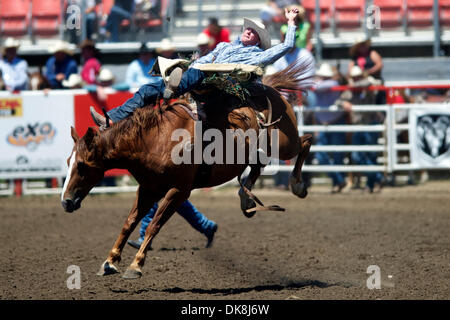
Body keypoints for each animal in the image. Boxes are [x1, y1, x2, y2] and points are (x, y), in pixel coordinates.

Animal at [60, 63, 312, 278]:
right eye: (68, 161)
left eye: (81, 165)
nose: (66, 201)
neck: (154, 141)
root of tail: (269, 88)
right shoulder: (149, 188)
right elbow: (129, 222)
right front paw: (110, 261)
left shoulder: (179, 191)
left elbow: (154, 224)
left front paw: (135, 265)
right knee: (260, 164)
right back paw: (246, 200)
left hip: (284, 144)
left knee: (307, 141)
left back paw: (297, 185)